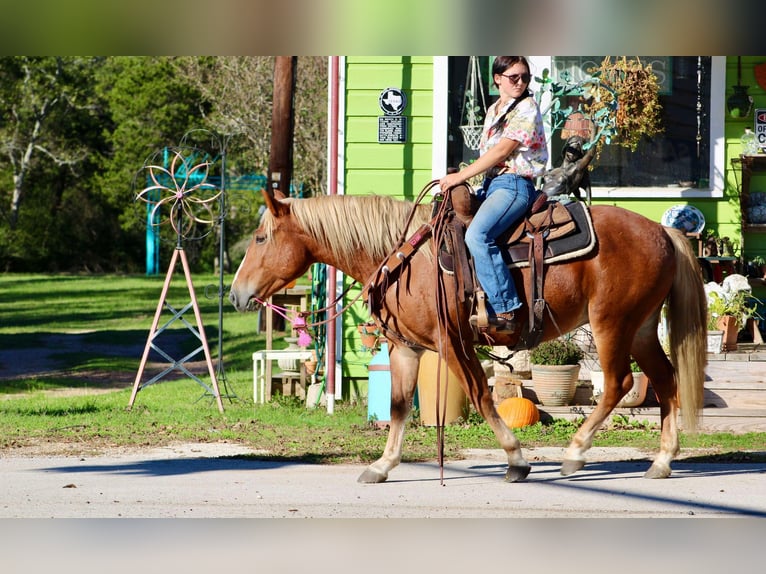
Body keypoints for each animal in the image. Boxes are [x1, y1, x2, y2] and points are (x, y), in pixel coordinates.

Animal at [230, 190, 708, 486]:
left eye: (260, 237)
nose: (236, 294)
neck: (405, 258)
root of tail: (663, 232)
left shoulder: (453, 343)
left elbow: (481, 395)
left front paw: (516, 459)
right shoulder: (405, 347)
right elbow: (399, 407)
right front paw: (383, 465)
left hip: (612, 323)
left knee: (619, 384)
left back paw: (575, 452)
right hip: (641, 327)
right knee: (665, 381)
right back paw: (662, 461)